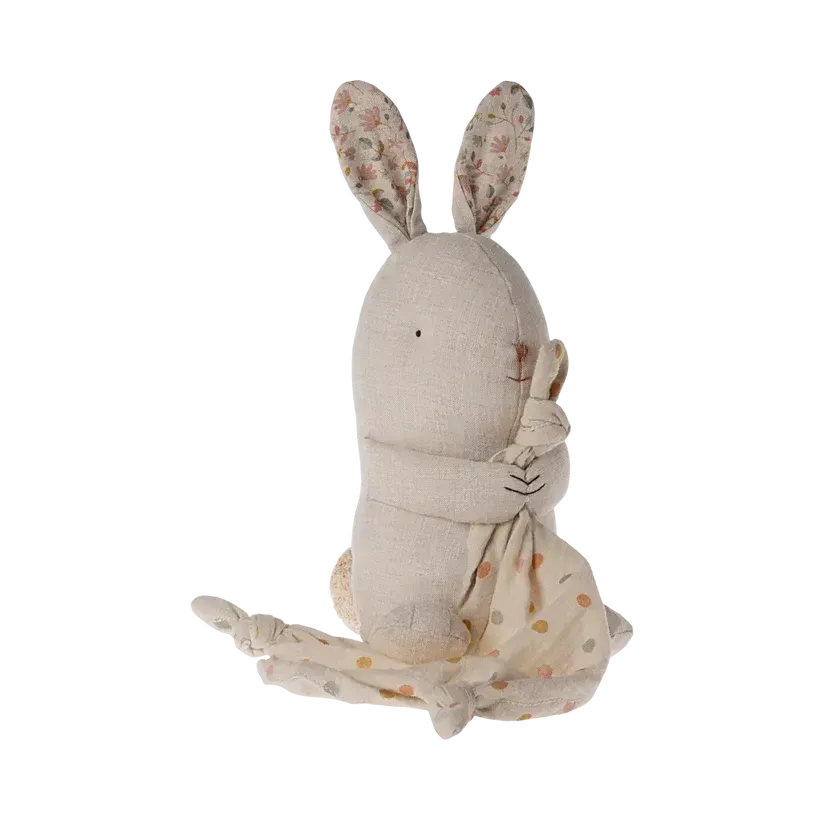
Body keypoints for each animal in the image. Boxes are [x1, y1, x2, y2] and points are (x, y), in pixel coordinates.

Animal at [331, 78, 571, 665]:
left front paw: (534, 476)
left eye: (531, 313)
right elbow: (429, 479)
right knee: (408, 627)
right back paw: (422, 633)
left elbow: (557, 472)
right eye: (419, 334)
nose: (521, 353)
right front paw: (502, 485)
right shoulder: (389, 454)